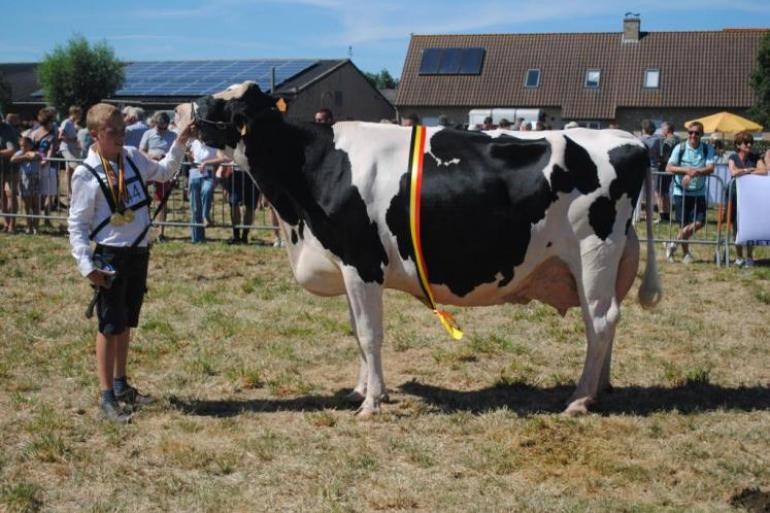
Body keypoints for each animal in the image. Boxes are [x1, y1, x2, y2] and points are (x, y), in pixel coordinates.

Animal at [176, 81, 660, 416]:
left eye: (218, 106)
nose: (180, 107)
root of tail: (630, 141)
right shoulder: (347, 266)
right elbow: (356, 332)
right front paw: (362, 389)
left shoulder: (362, 263)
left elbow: (369, 333)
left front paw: (371, 402)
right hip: (610, 262)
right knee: (607, 322)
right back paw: (600, 389)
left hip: (594, 253)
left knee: (599, 319)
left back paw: (578, 398)